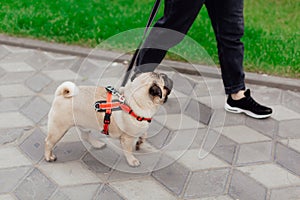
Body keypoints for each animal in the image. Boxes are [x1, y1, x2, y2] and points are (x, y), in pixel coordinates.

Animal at [43, 71, 172, 166]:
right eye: (165, 83)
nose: (167, 76)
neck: (135, 101)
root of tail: (61, 94)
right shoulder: (127, 138)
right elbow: (128, 150)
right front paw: (132, 161)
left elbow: (144, 134)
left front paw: (140, 141)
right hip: (58, 129)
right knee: (48, 142)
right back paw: (49, 157)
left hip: (83, 125)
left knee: (85, 136)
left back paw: (97, 144)